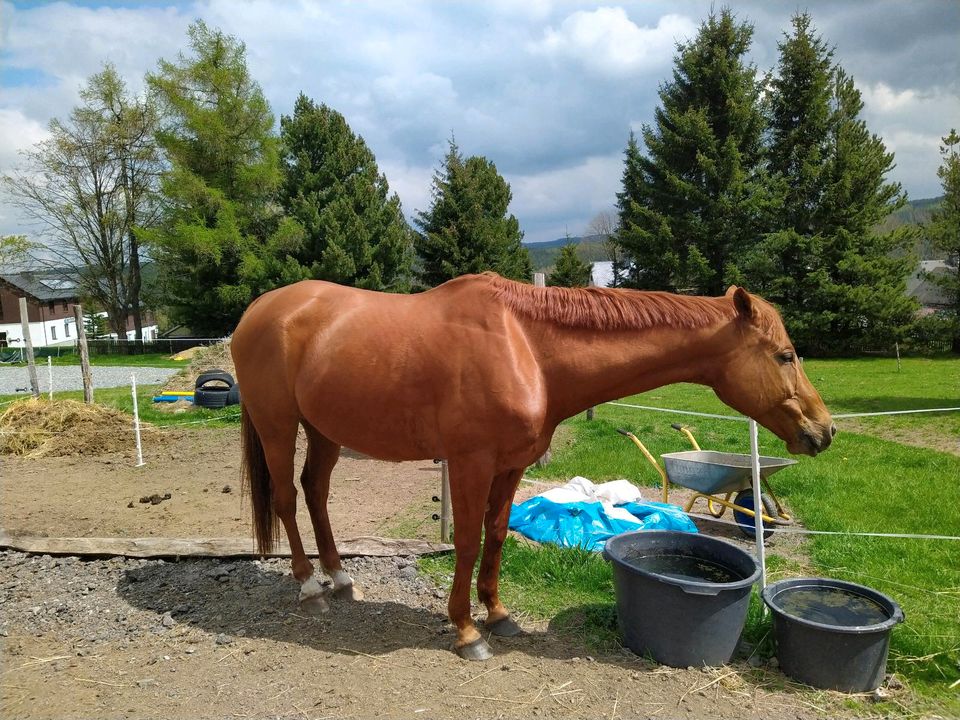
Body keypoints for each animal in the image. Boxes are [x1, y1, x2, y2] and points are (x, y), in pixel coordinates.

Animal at [232, 272, 832, 660]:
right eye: (784, 355)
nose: (823, 431)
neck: (526, 346)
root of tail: (258, 313)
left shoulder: (511, 465)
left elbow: (497, 535)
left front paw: (498, 615)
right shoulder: (471, 462)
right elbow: (468, 540)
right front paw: (466, 631)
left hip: (325, 430)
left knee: (315, 491)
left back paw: (339, 577)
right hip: (277, 425)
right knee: (287, 497)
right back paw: (310, 587)